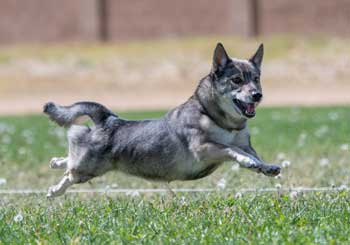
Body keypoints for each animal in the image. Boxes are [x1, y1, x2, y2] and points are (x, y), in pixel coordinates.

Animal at [43, 43, 282, 198]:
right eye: (237, 80)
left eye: (257, 79)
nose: (257, 95)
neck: (220, 120)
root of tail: (107, 120)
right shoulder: (204, 148)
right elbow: (234, 150)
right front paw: (247, 161)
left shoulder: (244, 144)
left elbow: (254, 155)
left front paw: (266, 167)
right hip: (88, 168)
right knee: (70, 172)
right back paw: (54, 191)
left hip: (88, 163)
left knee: (70, 160)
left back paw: (55, 162)